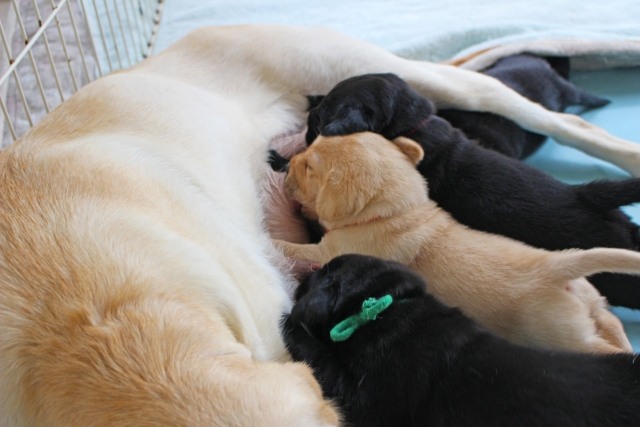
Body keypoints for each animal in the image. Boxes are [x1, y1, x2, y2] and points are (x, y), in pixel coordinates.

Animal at [272, 134, 640, 354]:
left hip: (565, 336)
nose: (286, 164)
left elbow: (295, 248)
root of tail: (553, 269)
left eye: (309, 168)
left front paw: (272, 238)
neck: (399, 209)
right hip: (592, 304)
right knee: (611, 322)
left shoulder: (331, 252)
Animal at [282, 254, 640, 427]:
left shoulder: (370, 398)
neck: (387, 305)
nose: (306, 271)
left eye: (321, 275)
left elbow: (325, 364)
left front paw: (289, 324)